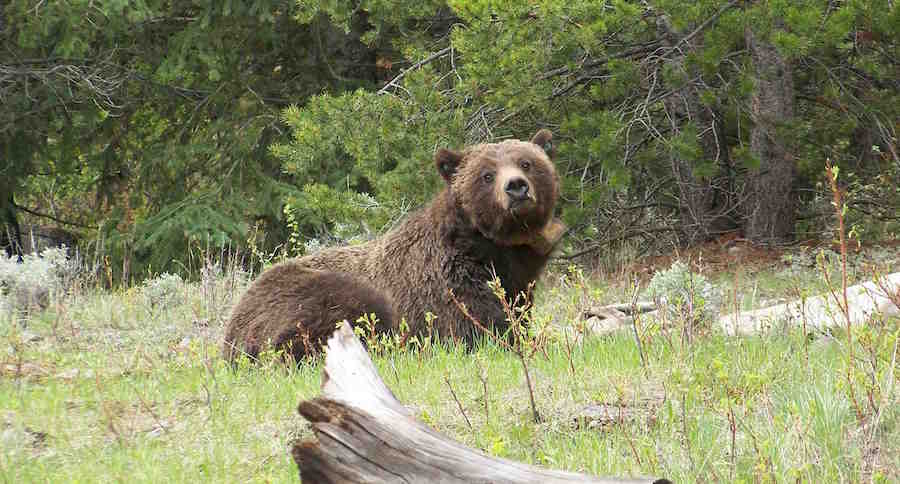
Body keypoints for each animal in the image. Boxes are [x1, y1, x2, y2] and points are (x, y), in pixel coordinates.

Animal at [223, 129, 565, 363]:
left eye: (527, 162)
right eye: (487, 174)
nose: (516, 187)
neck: (494, 249)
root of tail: (229, 331)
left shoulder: (517, 281)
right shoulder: (448, 283)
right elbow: (481, 328)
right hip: (304, 297)